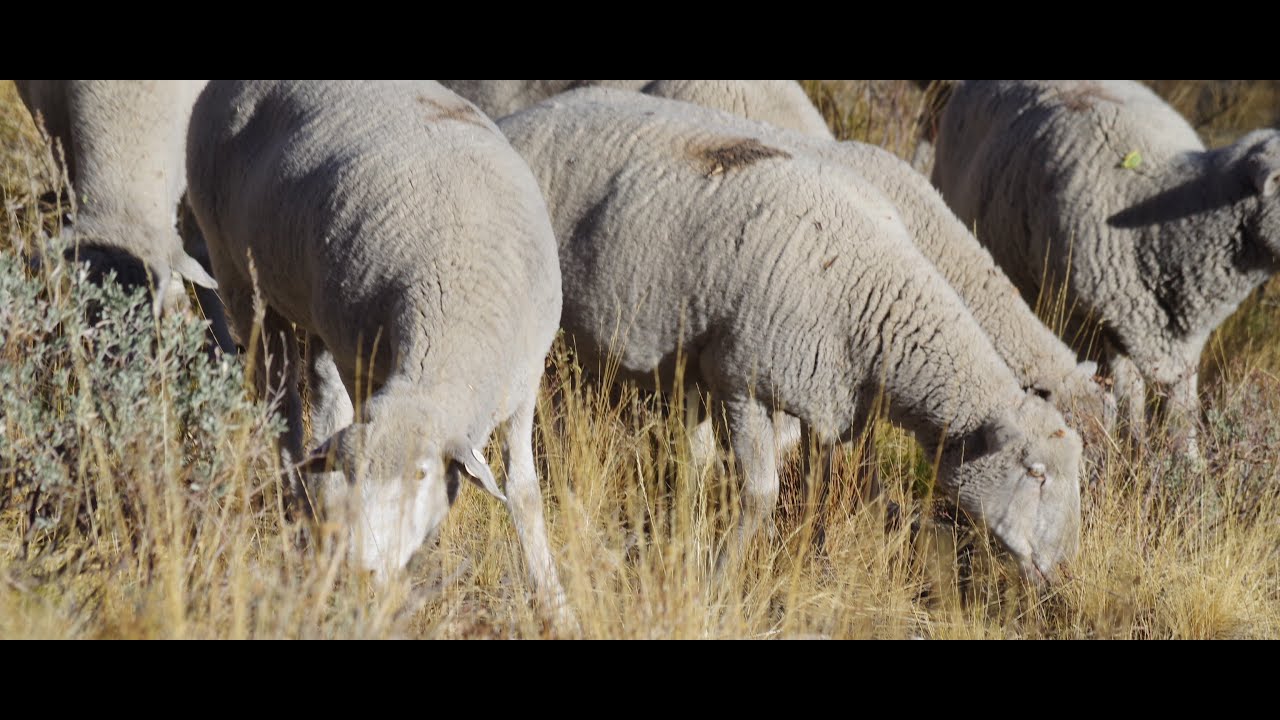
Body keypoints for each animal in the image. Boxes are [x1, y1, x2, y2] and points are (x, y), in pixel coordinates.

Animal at [185, 79, 571, 621]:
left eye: (422, 473)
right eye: (355, 473)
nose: (362, 569)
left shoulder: (523, 385)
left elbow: (523, 492)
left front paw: (555, 602)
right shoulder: (366, 367)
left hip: (321, 308)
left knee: (321, 392)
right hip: (241, 278)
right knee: (282, 406)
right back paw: (301, 508)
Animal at [498, 87, 1084, 582]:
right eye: (1036, 473)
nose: (1061, 569)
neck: (876, 293)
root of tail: (514, 119)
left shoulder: (833, 404)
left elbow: (837, 489)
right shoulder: (743, 382)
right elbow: (760, 495)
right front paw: (718, 578)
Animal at [931, 80, 1280, 459]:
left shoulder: (1185, 343)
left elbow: (1180, 413)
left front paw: (1188, 465)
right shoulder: (1096, 322)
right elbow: (1129, 403)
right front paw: (1132, 456)